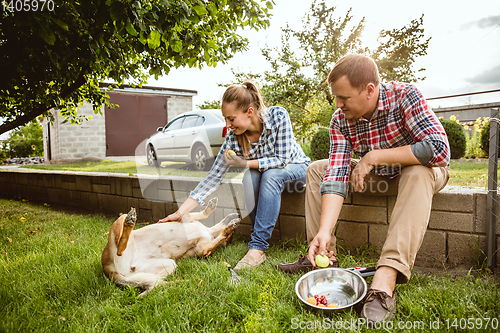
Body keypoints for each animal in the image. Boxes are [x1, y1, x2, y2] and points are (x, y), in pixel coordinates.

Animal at [100, 197, 239, 296]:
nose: (237, 215)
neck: (210, 232)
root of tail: (109, 270)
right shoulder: (185, 217)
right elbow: (202, 214)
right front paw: (211, 209)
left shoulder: (202, 248)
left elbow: (211, 245)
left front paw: (227, 231)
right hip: (121, 219)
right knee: (121, 243)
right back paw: (130, 220)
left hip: (166, 265)